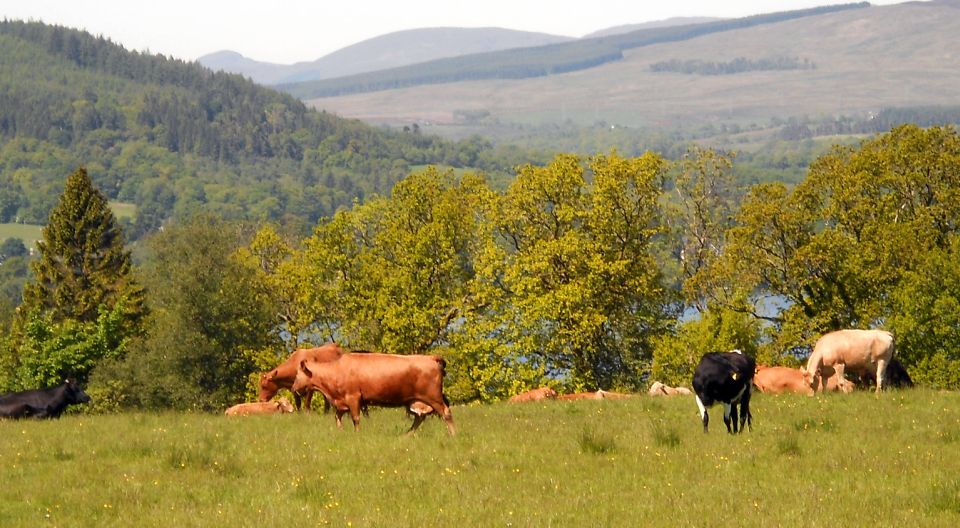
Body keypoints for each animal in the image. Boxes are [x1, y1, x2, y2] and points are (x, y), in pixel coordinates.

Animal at [294, 352, 456, 436]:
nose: (294, 388)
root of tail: (431, 357)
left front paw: (357, 434)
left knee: (446, 412)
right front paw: (340, 430)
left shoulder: (353, 397)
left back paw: (453, 434)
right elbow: (337, 417)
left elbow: (355, 418)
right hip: (417, 400)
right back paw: (407, 435)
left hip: (433, 397)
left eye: (297, 375)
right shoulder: (342, 402)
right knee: (419, 418)